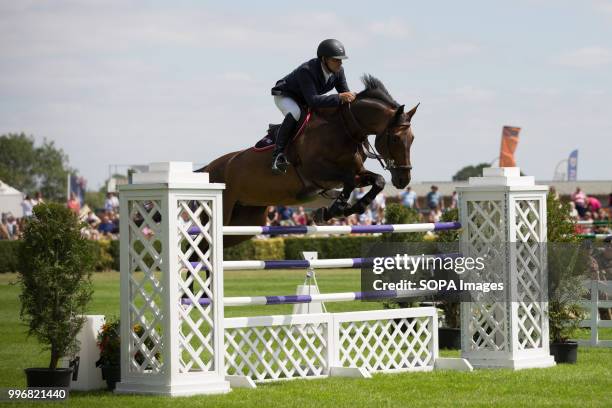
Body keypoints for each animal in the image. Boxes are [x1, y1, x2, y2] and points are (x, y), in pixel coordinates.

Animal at [198, 75, 418, 247]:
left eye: (413, 138)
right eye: (396, 139)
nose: (403, 179)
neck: (343, 130)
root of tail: (208, 168)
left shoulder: (355, 173)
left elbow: (377, 181)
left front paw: (350, 208)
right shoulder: (316, 172)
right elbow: (348, 181)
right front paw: (331, 210)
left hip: (245, 222)